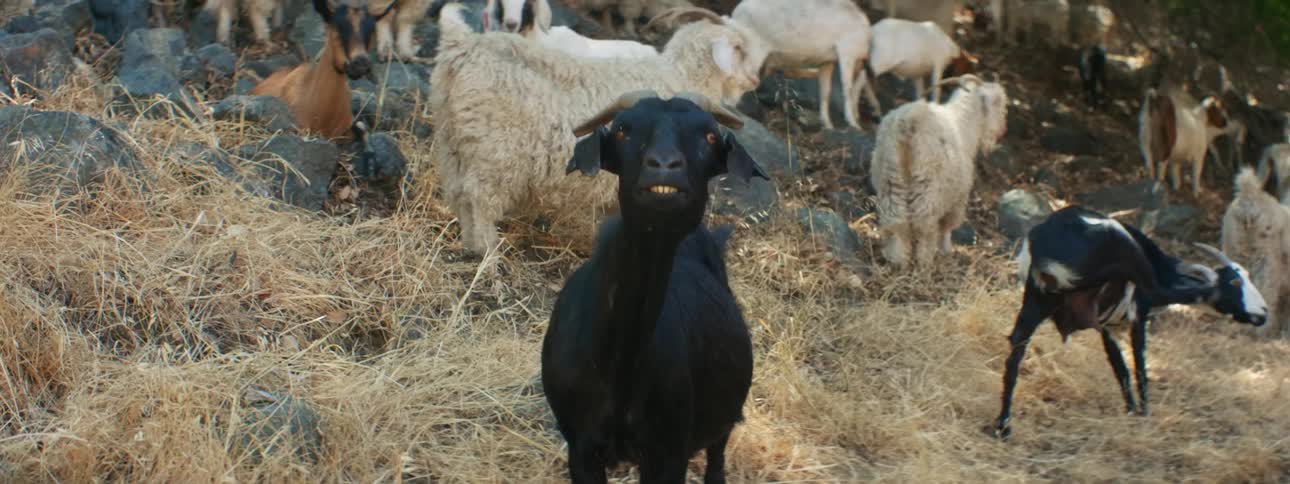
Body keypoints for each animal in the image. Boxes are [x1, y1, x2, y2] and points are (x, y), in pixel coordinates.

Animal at [430, 2, 768, 255]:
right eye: (739, 48)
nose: (755, 80)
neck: (680, 76)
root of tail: (462, 45)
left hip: (454, 141)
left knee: (459, 195)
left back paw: (470, 246)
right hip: (495, 150)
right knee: (478, 199)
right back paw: (488, 256)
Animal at [542, 90, 767, 483]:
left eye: (709, 136)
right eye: (622, 130)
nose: (664, 165)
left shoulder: (668, 450)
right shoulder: (580, 445)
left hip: (723, 418)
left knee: (717, 455)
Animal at [729, 0, 877, 130]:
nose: (875, 113)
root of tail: (736, 14)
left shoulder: (827, 63)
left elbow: (825, 92)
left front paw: (828, 125)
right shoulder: (847, 54)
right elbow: (847, 89)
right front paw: (853, 124)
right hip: (754, 52)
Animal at [871, 74, 1008, 268]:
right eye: (998, 103)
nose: (1002, 130)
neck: (965, 123)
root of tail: (909, 122)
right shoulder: (958, 198)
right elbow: (946, 227)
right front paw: (946, 250)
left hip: (890, 179)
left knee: (896, 221)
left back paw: (898, 260)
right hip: (928, 185)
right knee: (925, 225)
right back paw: (924, 261)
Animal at [995, 205, 1268, 439]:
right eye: (1235, 282)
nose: (1264, 313)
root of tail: (1043, 241)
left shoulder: (1106, 325)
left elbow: (1120, 368)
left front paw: (1130, 411)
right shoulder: (1137, 315)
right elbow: (1139, 366)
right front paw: (1143, 413)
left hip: (1036, 298)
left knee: (1017, 345)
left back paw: (1003, 426)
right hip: (1124, 257)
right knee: (1160, 291)